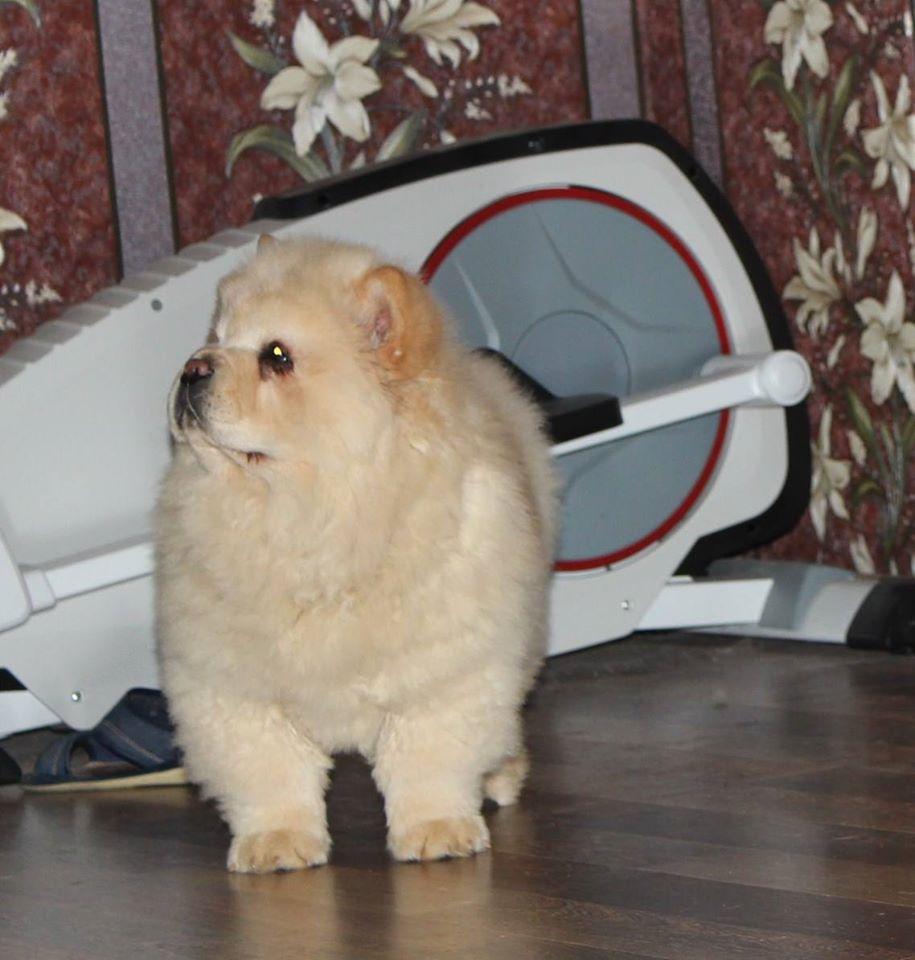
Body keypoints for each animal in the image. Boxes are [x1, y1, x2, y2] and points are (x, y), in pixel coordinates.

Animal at [155, 236, 559, 873]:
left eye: (277, 357)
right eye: (216, 337)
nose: (193, 368)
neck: (310, 517)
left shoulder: (442, 671)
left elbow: (427, 761)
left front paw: (437, 831)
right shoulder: (230, 684)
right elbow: (268, 772)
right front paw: (277, 842)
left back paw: (501, 776)